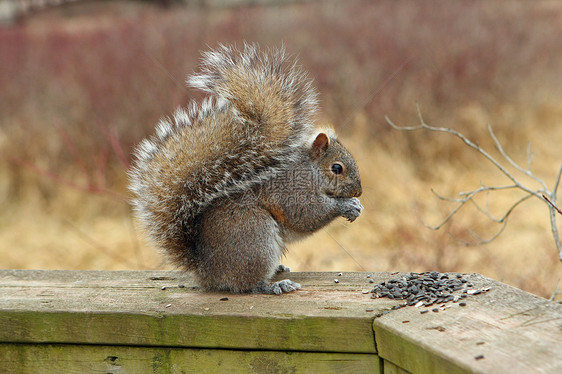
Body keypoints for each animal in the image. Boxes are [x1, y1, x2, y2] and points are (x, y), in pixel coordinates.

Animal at [129, 43, 360, 296]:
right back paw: (274, 285)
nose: (358, 192)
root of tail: (206, 271)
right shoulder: (291, 190)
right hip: (254, 236)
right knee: (248, 284)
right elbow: (305, 214)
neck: (310, 170)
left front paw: (356, 205)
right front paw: (347, 205)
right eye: (336, 168)